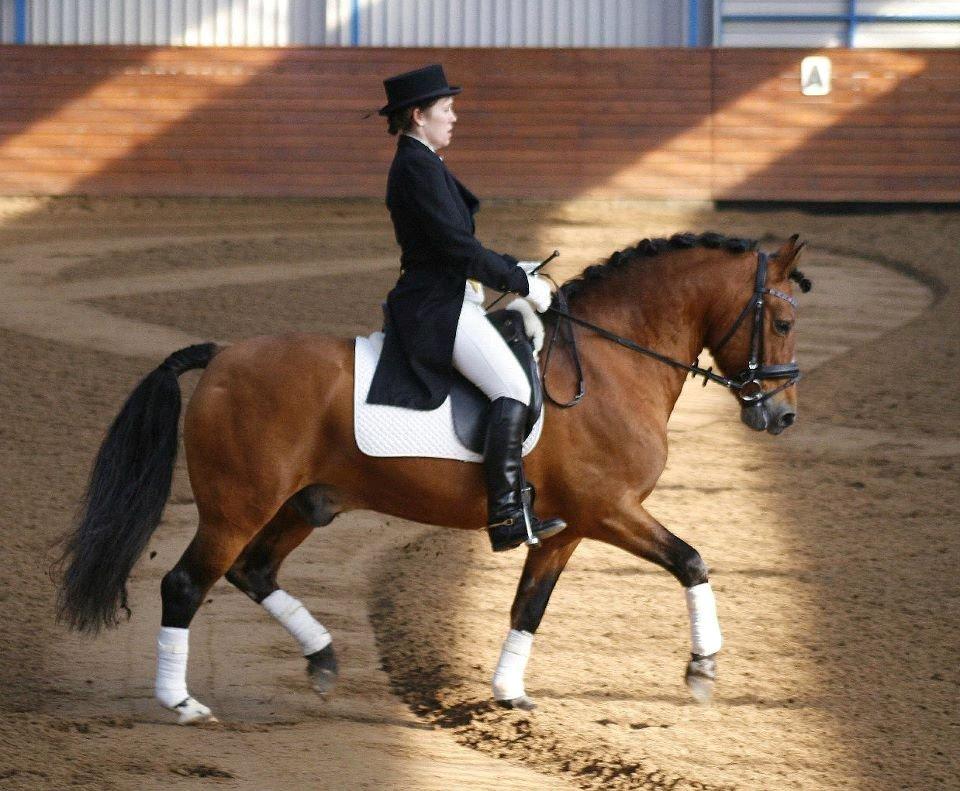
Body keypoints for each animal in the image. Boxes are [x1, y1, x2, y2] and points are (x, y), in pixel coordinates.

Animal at [58, 230, 808, 724]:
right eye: (782, 319)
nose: (782, 415)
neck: (610, 362)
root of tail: (219, 358)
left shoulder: (568, 527)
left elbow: (528, 606)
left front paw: (508, 694)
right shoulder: (611, 510)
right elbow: (692, 559)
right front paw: (703, 667)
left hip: (304, 502)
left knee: (254, 570)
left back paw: (323, 659)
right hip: (236, 507)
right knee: (187, 583)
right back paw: (182, 701)